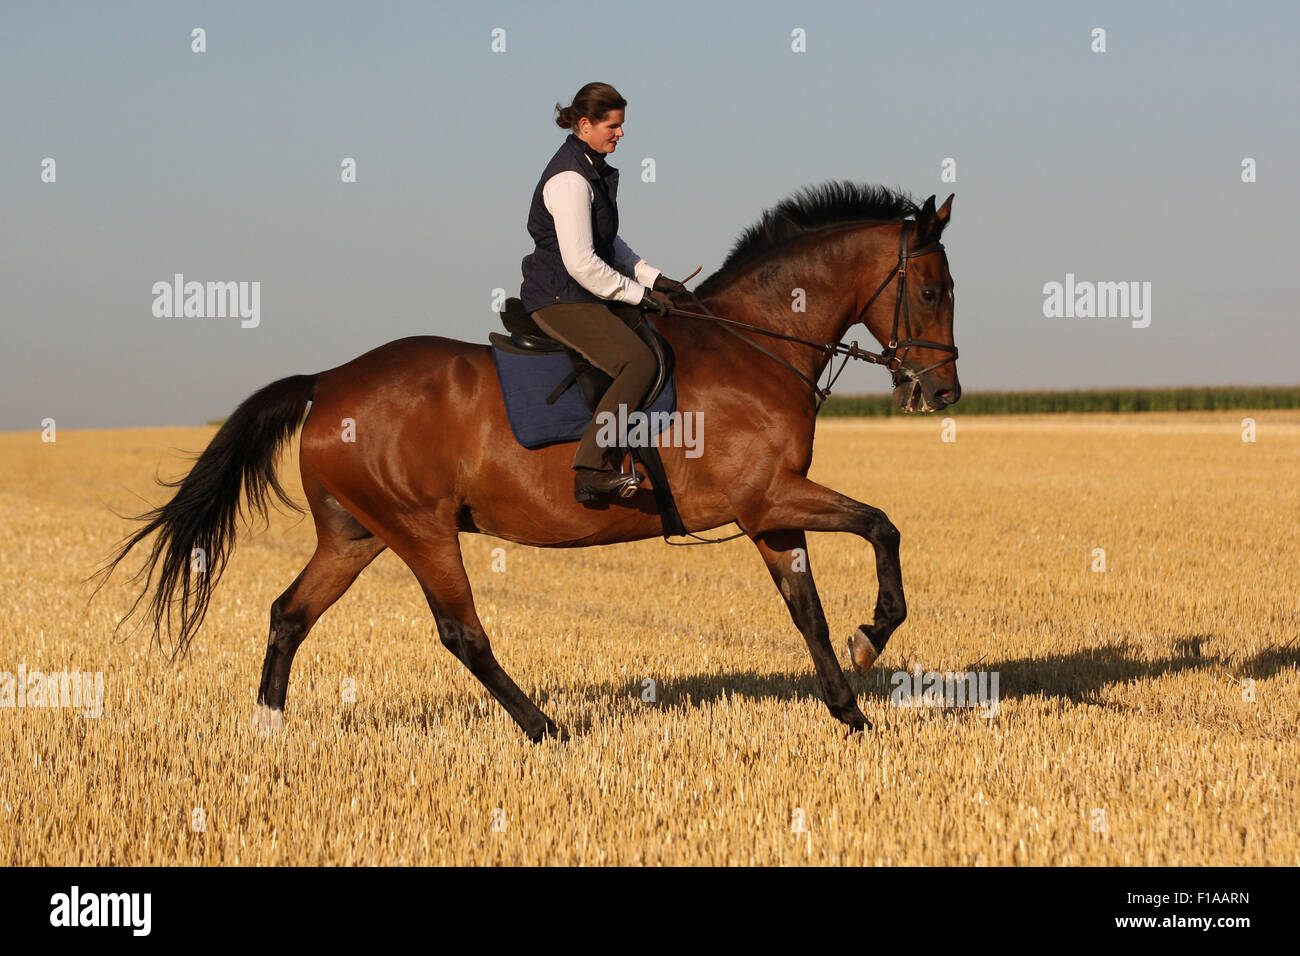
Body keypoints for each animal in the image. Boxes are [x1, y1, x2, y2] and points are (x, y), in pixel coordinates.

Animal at [92, 182, 960, 742]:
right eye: (929, 289)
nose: (943, 390)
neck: (754, 345)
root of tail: (328, 381)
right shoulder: (770, 497)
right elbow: (883, 527)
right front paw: (873, 638)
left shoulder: (771, 512)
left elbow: (807, 609)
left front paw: (850, 710)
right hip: (420, 530)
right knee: (462, 633)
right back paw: (544, 728)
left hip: (355, 533)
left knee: (289, 613)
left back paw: (267, 730)